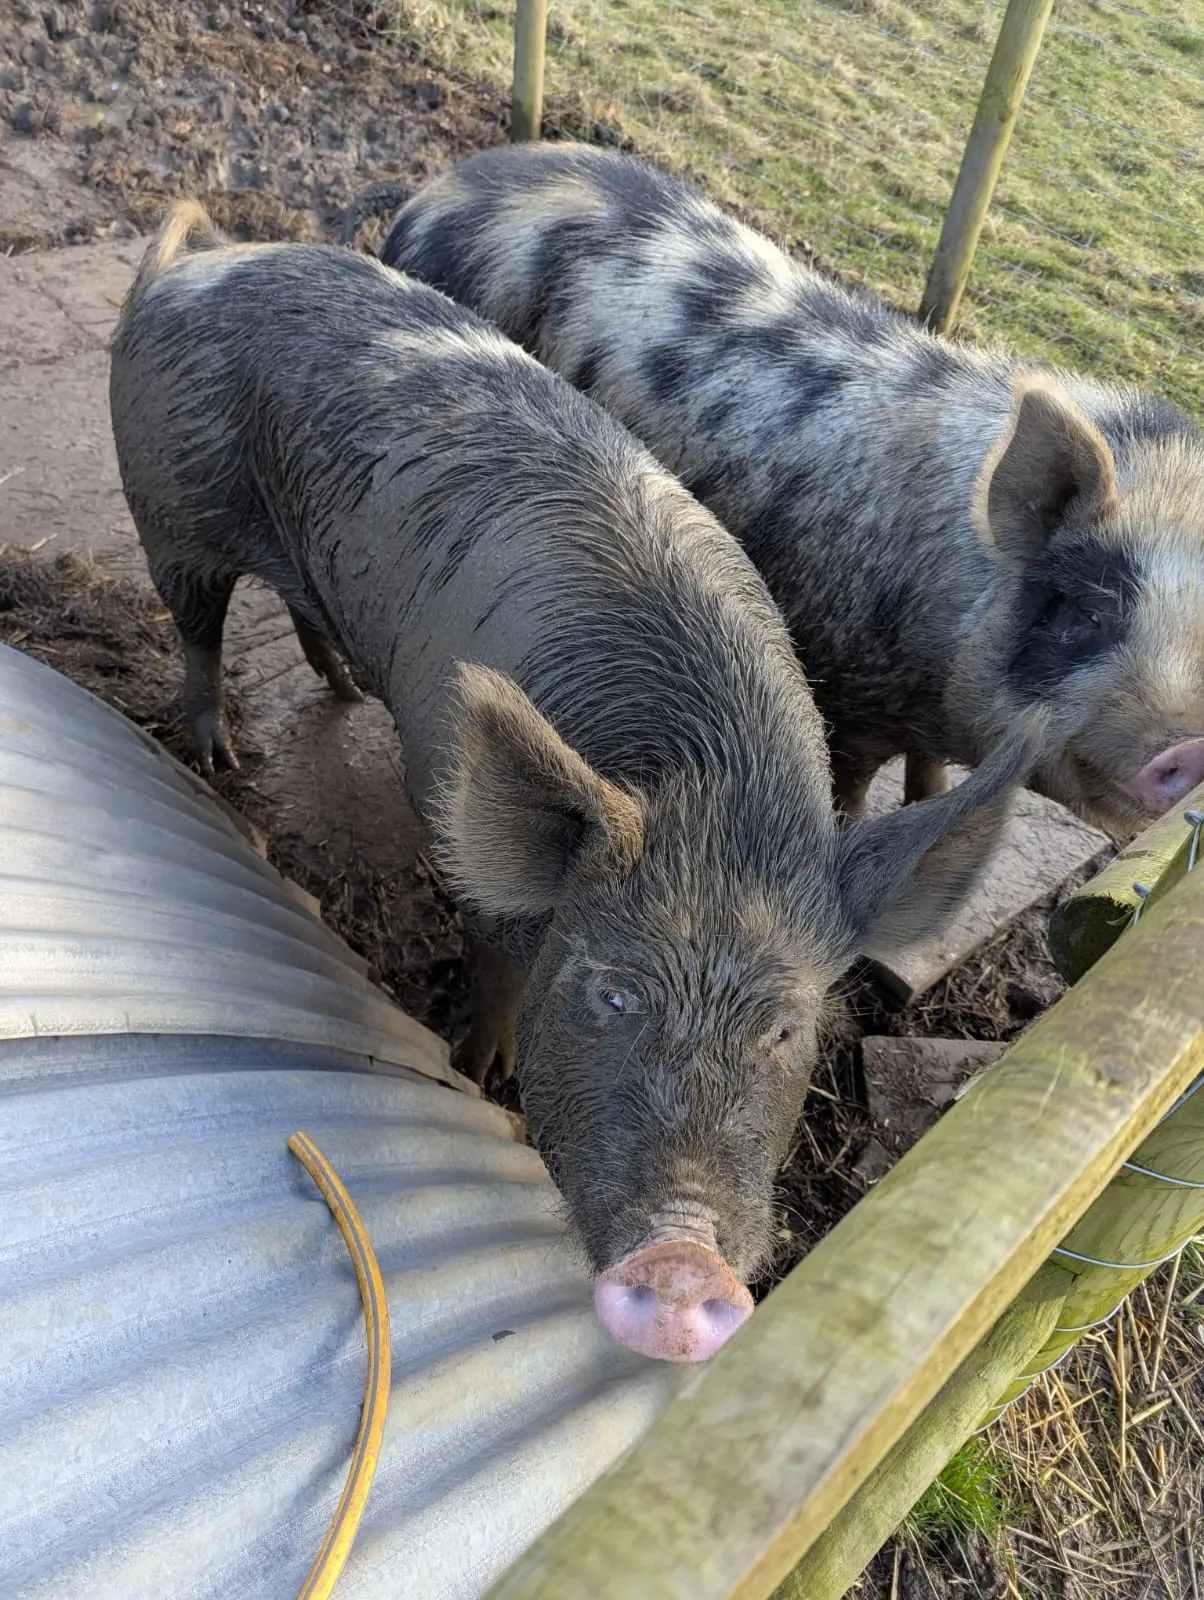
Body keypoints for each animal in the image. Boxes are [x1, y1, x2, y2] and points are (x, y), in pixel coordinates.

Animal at [111, 202, 1043, 1362]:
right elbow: (495, 967)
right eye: (610, 992)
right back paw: (218, 753)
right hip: (168, 505)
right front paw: (483, 1074)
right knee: (195, 626)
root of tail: (189, 270)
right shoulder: (472, 854)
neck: (715, 795)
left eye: (787, 1029)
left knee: (298, 607)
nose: (684, 1261)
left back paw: (338, 686)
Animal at [370, 142, 1204, 834]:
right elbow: (853, 782)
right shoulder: (844, 687)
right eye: (1082, 609)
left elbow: (931, 775)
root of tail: (439, 187)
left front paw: (935, 800)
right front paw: (855, 823)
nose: (1187, 747)